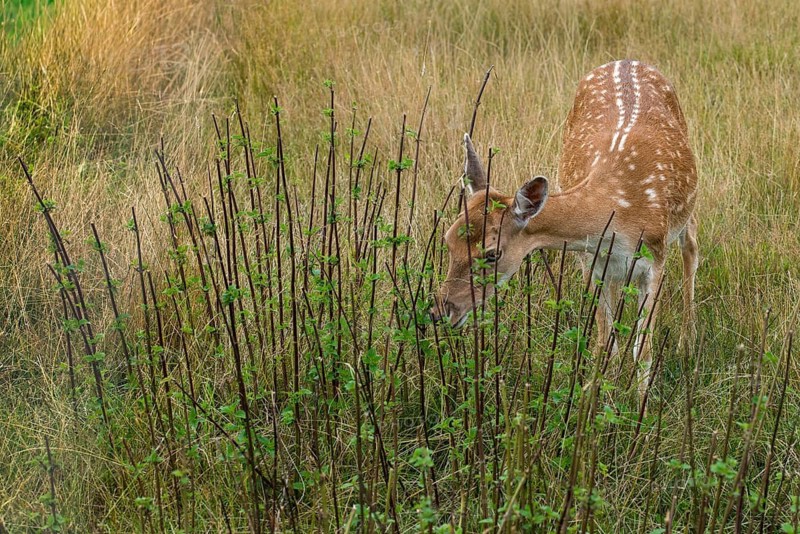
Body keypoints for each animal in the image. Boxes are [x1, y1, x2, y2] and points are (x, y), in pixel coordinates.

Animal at [430, 60, 699, 398]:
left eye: (492, 253)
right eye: (447, 239)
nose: (440, 311)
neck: (620, 211)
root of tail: (626, 60)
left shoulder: (654, 257)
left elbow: (643, 350)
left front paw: (640, 406)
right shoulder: (590, 263)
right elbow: (603, 343)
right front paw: (590, 396)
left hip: (686, 212)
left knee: (691, 248)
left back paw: (687, 344)